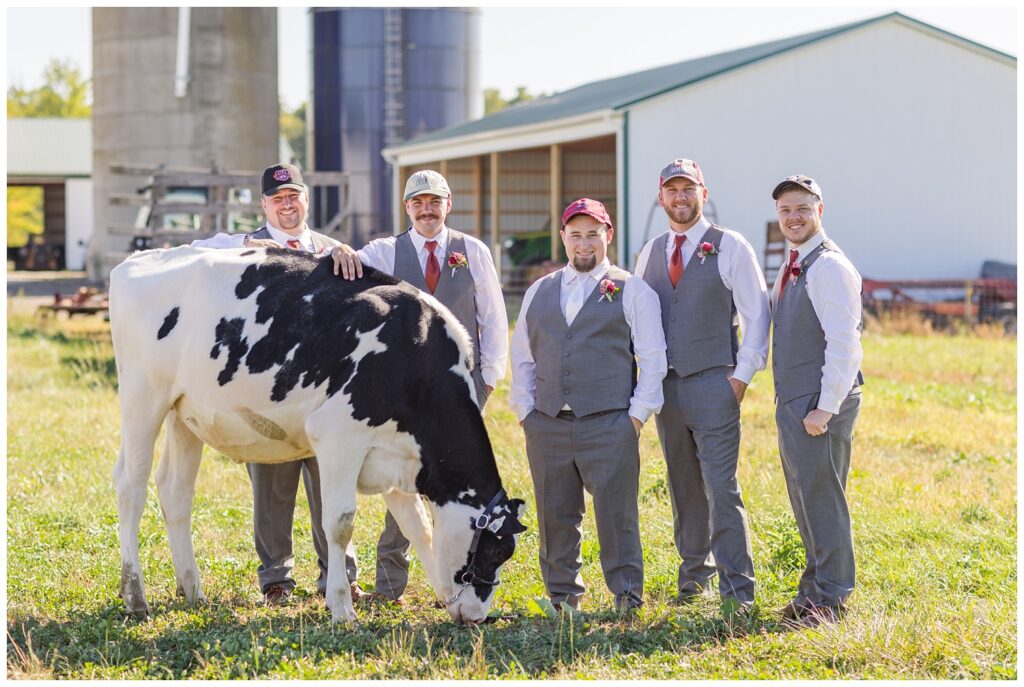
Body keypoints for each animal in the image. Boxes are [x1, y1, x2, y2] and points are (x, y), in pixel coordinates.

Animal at [110, 244, 528, 626]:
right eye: (497, 552)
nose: (478, 617)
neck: (415, 355)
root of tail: (140, 258)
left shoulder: (397, 457)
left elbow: (420, 528)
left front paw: (440, 595)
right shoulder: (338, 434)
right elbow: (340, 523)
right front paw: (341, 608)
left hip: (185, 414)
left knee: (174, 491)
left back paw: (193, 590)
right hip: (142, 398)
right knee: (131, 487)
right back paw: (135, 596)